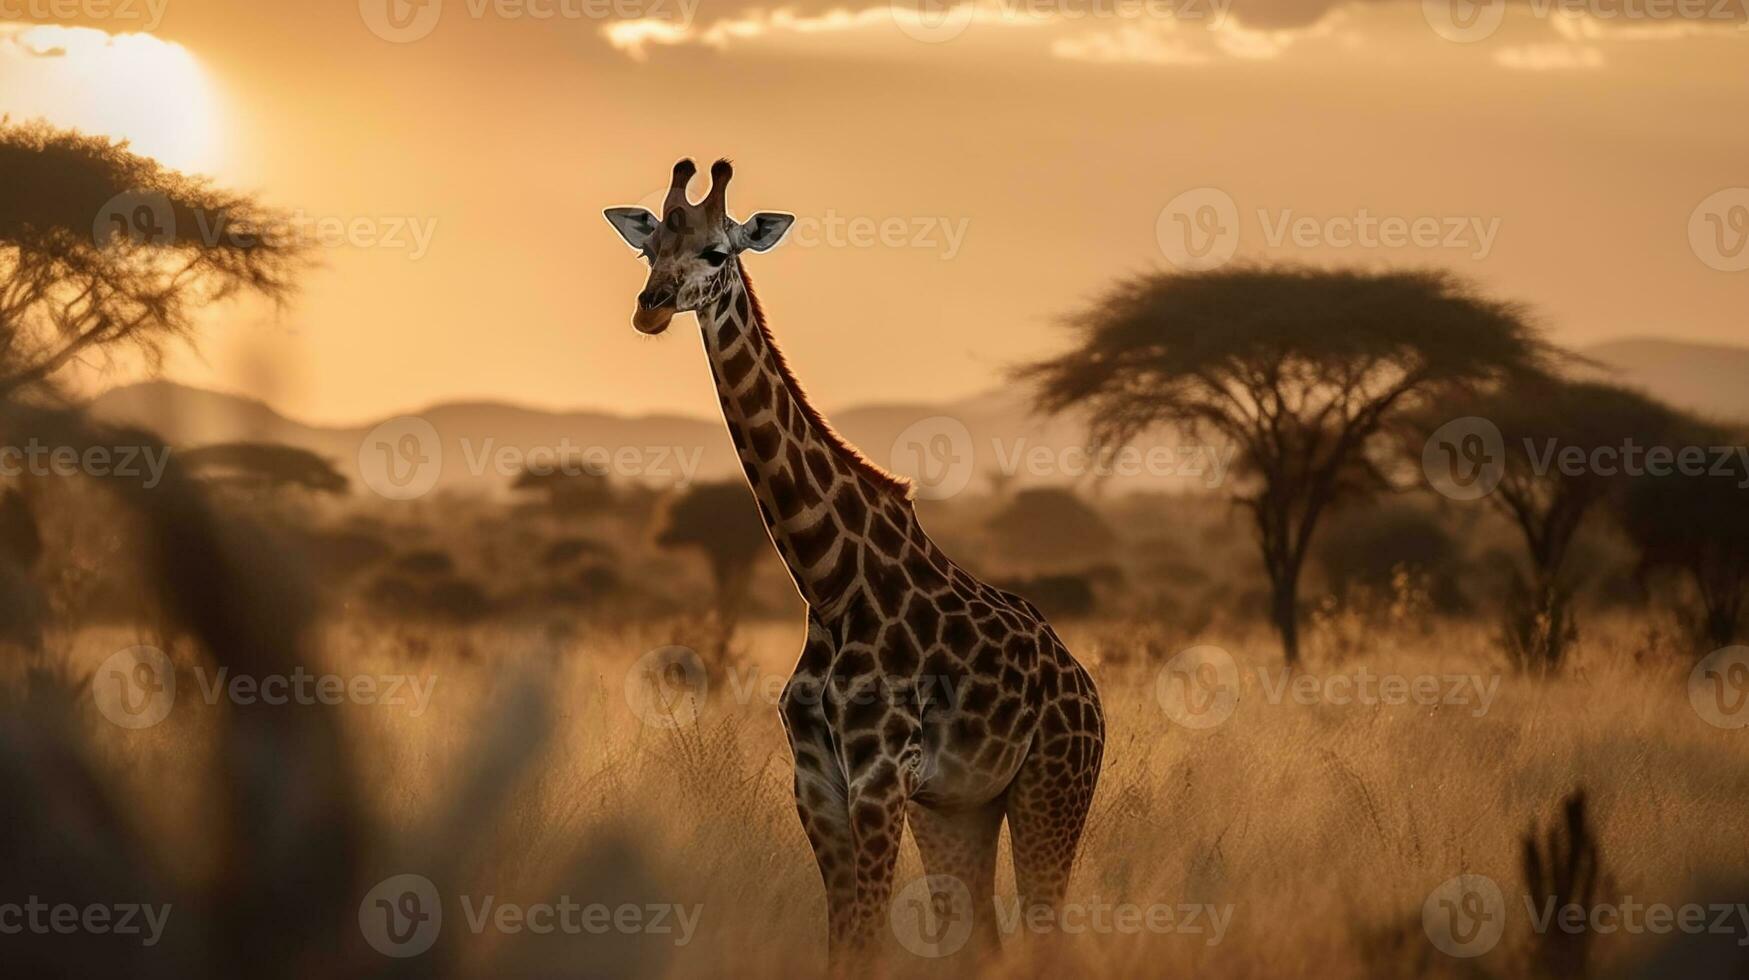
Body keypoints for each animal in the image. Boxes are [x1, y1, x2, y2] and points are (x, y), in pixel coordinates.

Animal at [608, 156, 1098, 959]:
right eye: (650, 250)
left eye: (716, 251)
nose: (650, 307)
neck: (827, 580)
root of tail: (1088, 690)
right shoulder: (817, 782)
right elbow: (843, 941)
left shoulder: (878, 776)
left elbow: (866, 936)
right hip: (958, 807)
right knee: (983, 939)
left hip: (1054, 788)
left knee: (1046, 932)